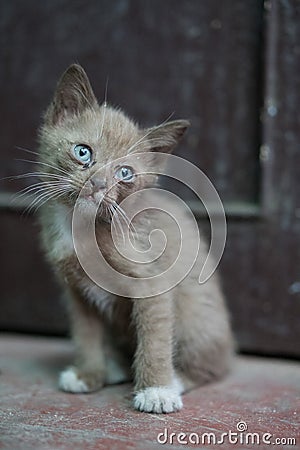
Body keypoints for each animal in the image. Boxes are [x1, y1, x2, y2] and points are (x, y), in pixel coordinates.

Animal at [37, 64, 234, 414]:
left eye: (124, 173)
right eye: (83, 152)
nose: (97, 184)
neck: (83, 228)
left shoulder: (152, 282)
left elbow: (154, 338)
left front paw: (156, 390)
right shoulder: (75, 291)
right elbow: (86, 335)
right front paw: (88, 374)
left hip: (199, 317)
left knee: (212, 366)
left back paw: (177, 379)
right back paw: (113, 367)